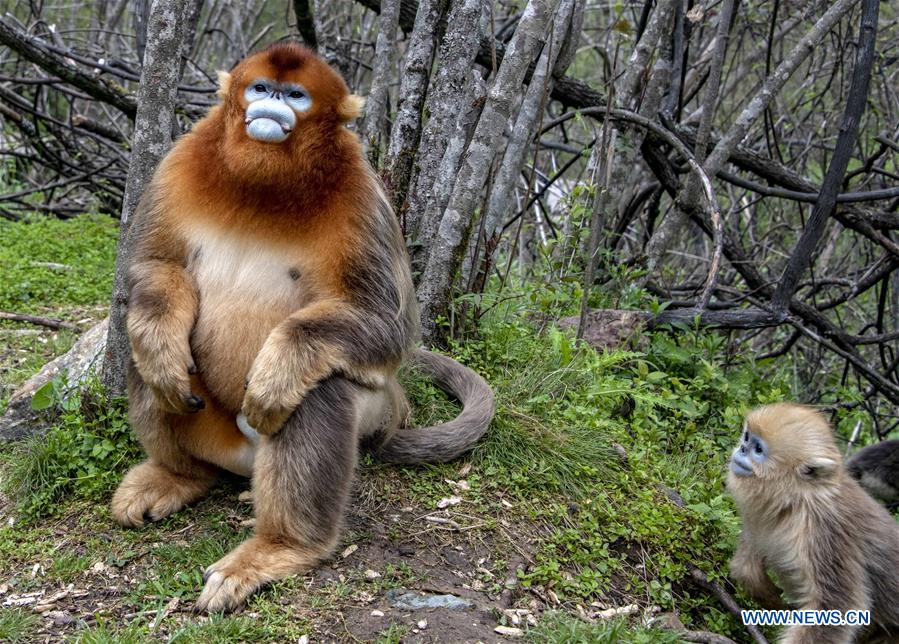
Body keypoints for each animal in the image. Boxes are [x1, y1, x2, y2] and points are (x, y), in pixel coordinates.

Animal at [110, 42, 500, 612]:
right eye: (260, 87)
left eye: (295, 95)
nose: (272, 105)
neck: (265, 182)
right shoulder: (181, 158)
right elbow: (155, 266)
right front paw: (160, 341)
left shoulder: (363, 194)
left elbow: (388, 322)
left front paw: (277, 371)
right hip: (212, 427)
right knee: (145, 352)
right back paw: (179, 472)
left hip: (370, 411)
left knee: (320, 389)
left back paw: (282, 547)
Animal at [728, 406, 899, 640]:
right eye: (746, 437)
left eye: (758, 449)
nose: (742, 449)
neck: (800, 502)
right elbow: (745, 569)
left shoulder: (825, 534)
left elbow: (838, 608)